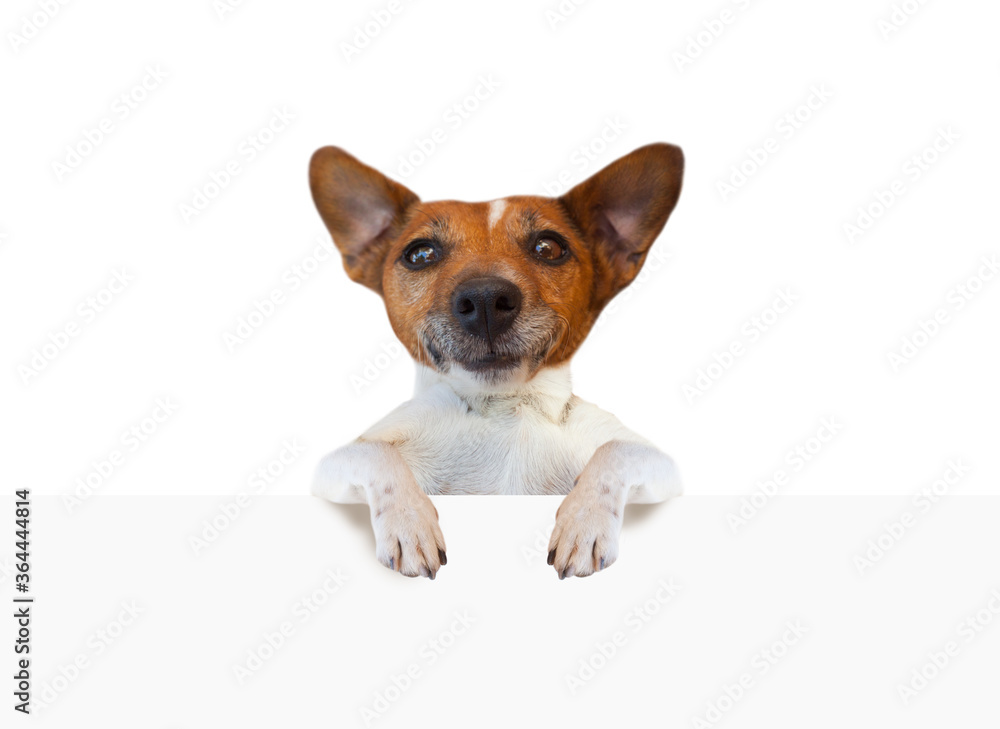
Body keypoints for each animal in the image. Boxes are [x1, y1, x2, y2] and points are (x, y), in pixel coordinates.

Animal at [308, 141, 684, 576]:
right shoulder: (331, 470)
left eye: (548, 247)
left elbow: (617, 450)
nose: (486, 299)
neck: (503, 408)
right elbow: (375, 452)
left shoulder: (662, 468)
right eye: (420, 254)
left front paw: (583, 524)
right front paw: (409, 524)